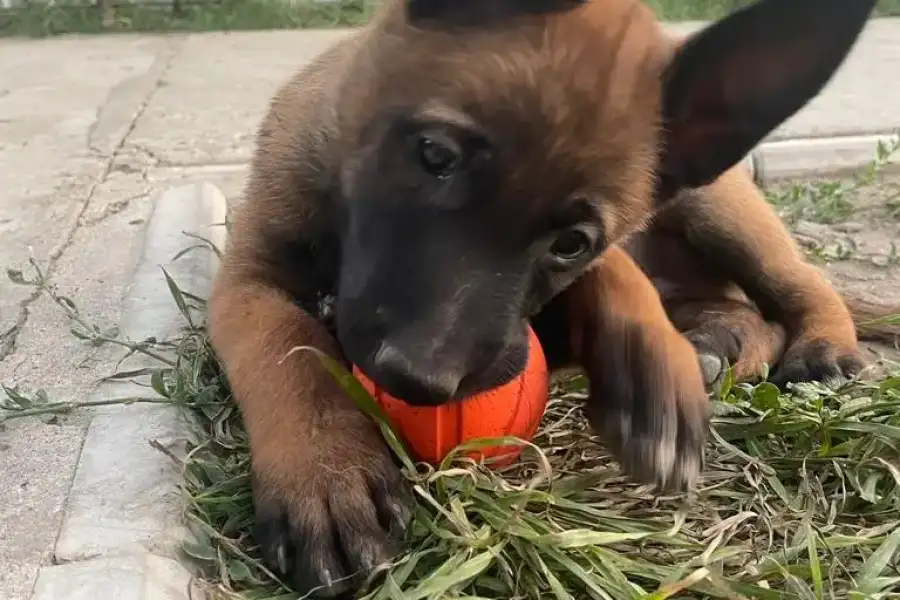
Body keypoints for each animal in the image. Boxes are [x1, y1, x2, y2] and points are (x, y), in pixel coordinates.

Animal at [207, 0, 884, 592]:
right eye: (434, 154)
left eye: (570, 243)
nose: (418, 379)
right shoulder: (248, 278)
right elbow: (287, 345)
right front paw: (326, 471)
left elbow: (612, 275)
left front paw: (651, 370)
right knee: (744, 310)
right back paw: (718, 344)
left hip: (720, 208)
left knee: (797, 284)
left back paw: (814, 349)